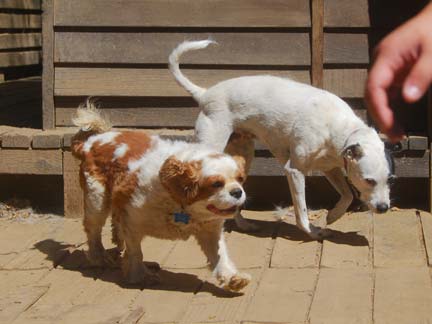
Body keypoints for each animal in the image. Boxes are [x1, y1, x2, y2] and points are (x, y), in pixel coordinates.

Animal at [71, 102, 251, 292]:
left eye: (240, 179)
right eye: (216, 184)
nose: (237, 192)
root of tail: (90, 142)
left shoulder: (210, 230)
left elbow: (221, 255)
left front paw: (233, 278)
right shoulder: (133, 221)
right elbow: (135, 252)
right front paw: (139, 275)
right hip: (97, 199)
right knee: (93, 230)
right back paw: (99, 257)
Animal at [169, 39, 394, 238]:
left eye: (390, 179)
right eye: (369, 180)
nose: (384, 208)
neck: (339, 127)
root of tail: (205, 94)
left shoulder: (331, 168)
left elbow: (348, 195)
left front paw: (333, 215)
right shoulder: (294, 171)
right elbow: (302, 212)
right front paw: (312, 232)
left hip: (242, 157)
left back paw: (243, 225)